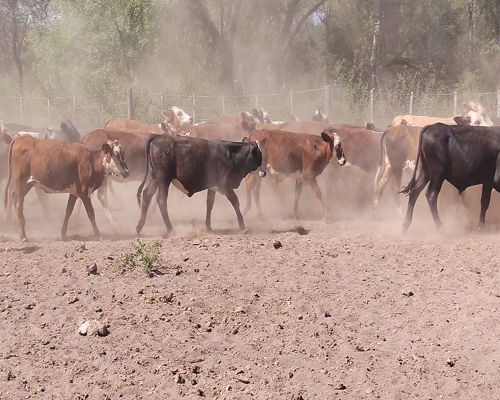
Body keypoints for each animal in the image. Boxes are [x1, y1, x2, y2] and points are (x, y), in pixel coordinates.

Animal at [135, 134, 264, 234]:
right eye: (258, 154)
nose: (264, 172)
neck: (231, 154)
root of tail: (157, 137)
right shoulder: (225, 186)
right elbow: (235, 202)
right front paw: (242, 226)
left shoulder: (212, 187)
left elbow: (209, 204)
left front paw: (208, 227)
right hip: (163, 179)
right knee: (161, 200)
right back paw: (170, 229)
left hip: (154, 178)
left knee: (147, 195)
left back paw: (139, 226)